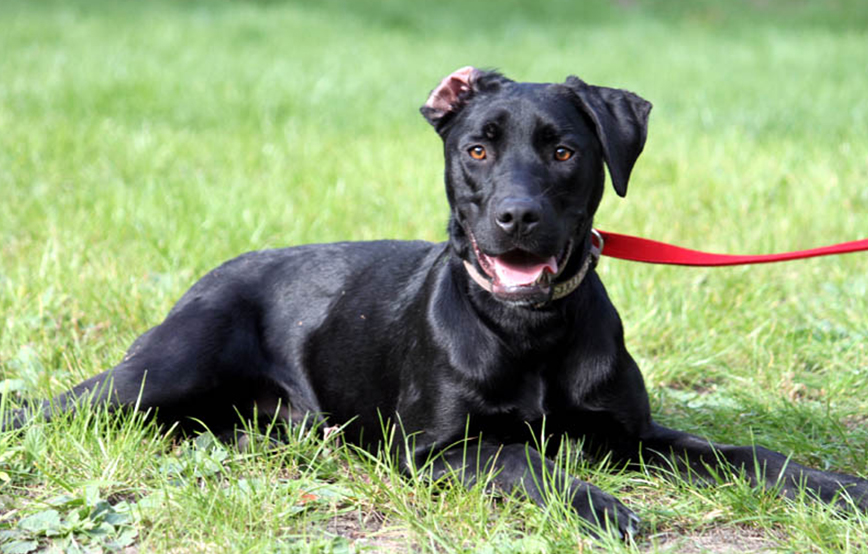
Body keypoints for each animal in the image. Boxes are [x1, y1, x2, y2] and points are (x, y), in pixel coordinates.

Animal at [8, 68, 868, 536]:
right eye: (477, 150)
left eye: (565, 151)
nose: (516, 217)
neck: (530, 330)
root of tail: (216, 272)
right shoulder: (435, 452)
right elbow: (524, 457)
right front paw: (600, 508)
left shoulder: (633, 434)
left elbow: (745, 456)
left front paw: (838, 488)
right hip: (153, 376)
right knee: (55, 408)